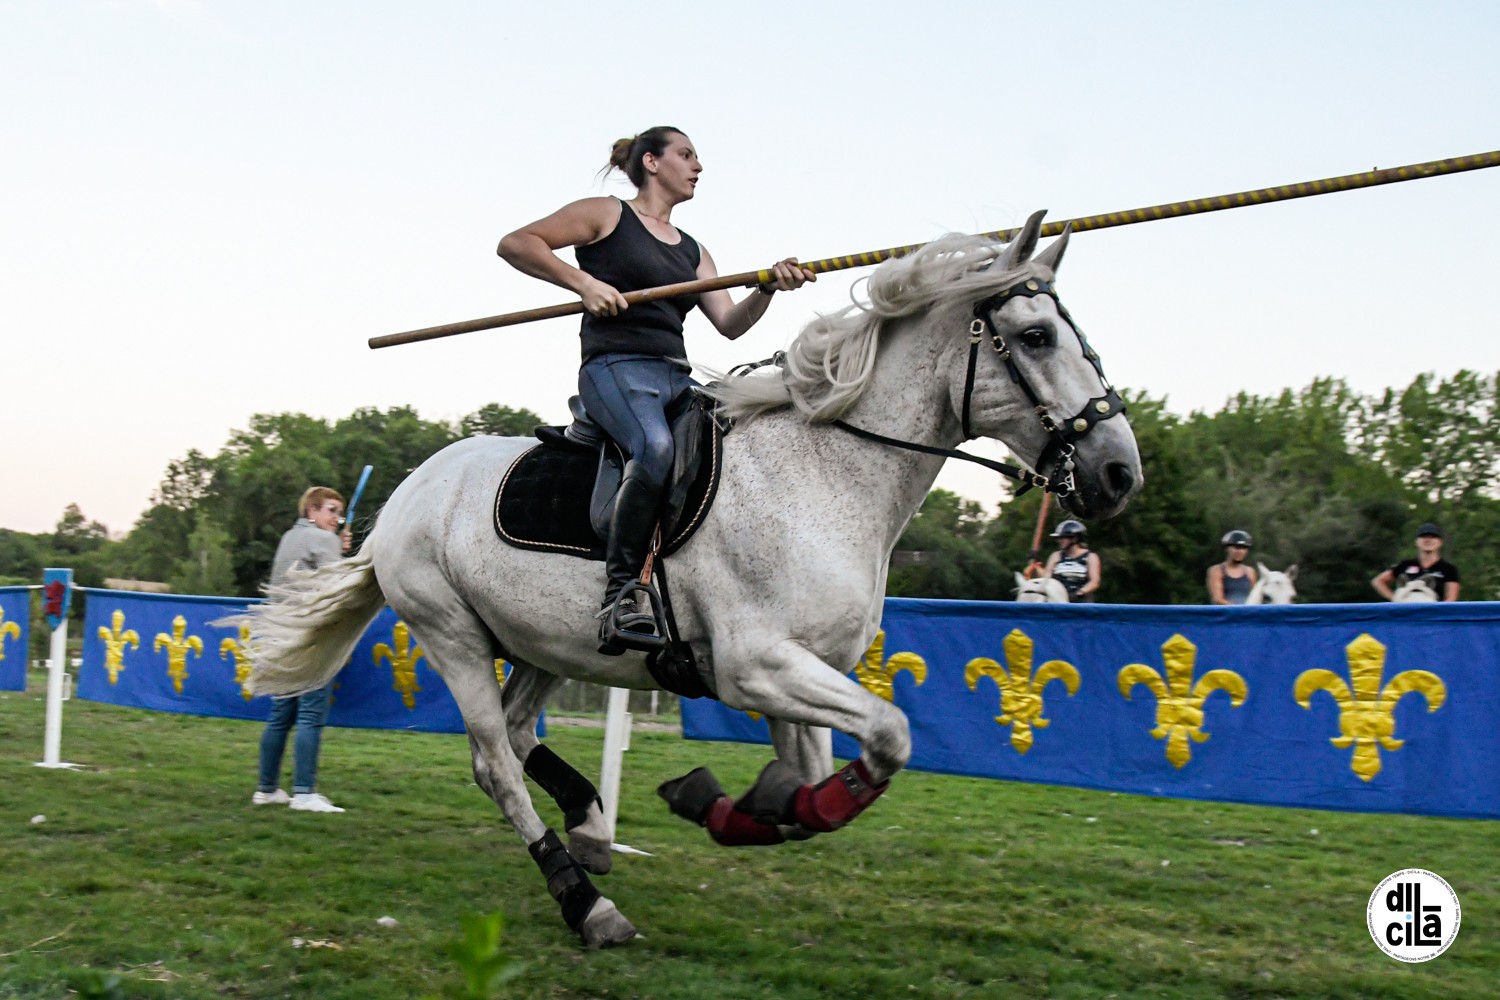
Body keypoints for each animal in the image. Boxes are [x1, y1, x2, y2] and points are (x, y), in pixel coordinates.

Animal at [240, 211, 1140, 947]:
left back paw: (591, 827)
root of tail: (403, 497)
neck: (826, 473)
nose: (1119, 471)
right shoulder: (756, 667)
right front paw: (715, 803)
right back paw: (586, 903)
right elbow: (888, 736)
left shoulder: (799, 674)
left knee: (521, 735)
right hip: (451, 633)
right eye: (1036, 337)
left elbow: (810, 787)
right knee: (494, 762)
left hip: (541, 644)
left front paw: (734, 806)